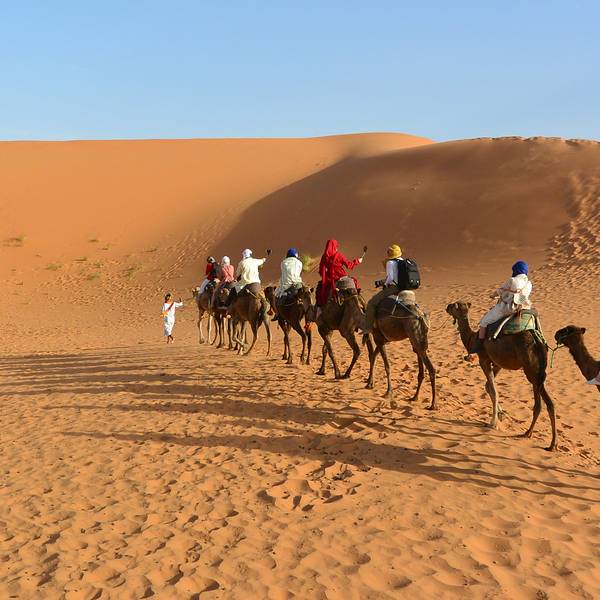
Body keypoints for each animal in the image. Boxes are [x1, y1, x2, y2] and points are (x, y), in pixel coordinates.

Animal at [446, 301, 557, 451]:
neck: (472, 339)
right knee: (548, 403)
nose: (447, 307)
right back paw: (548, 442)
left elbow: (493, 390)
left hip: (531, 370)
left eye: (453, 306)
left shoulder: (484, 359)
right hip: (538, 373)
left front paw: (493, 423)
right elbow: (488, 386)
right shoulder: (498, 363)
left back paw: (531, 434)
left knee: (540, 402)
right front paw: (501, 414)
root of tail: (537, 341)